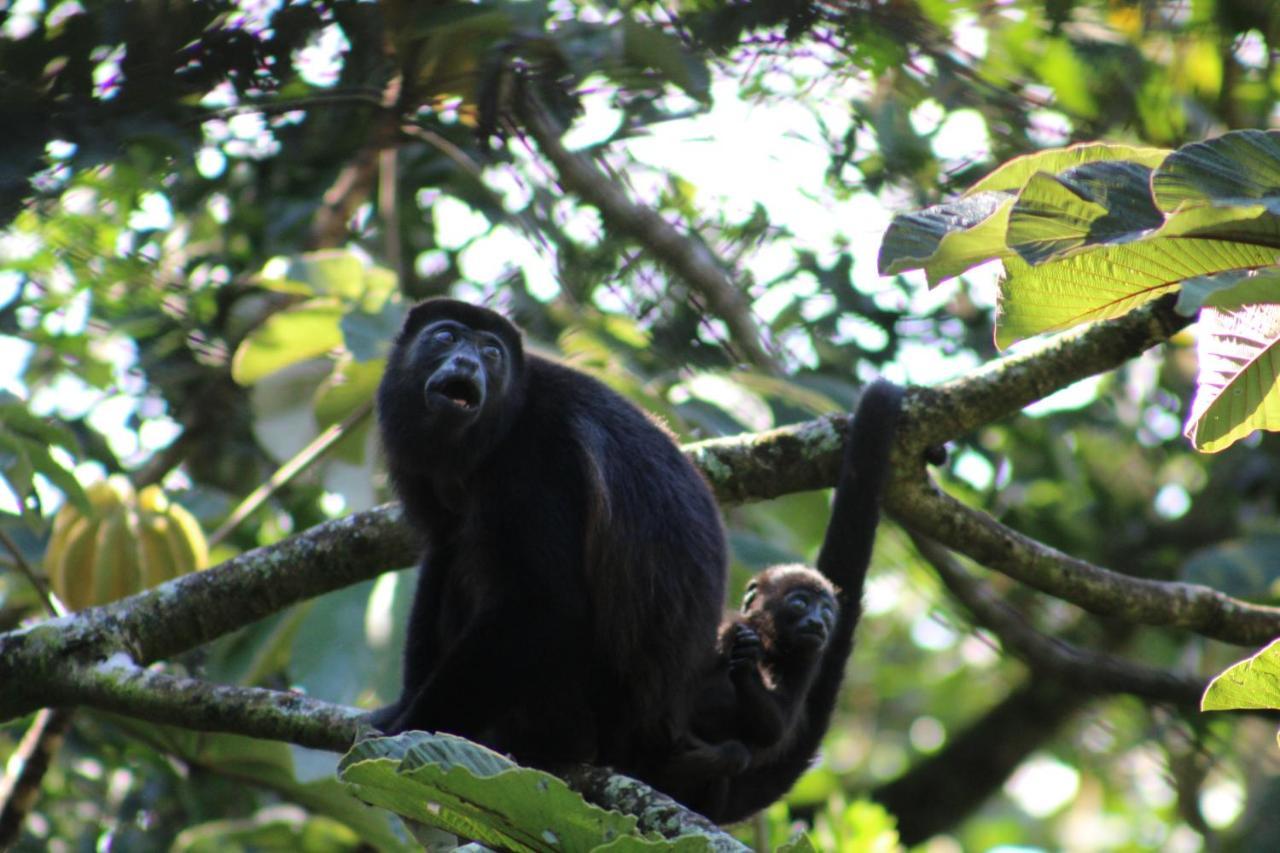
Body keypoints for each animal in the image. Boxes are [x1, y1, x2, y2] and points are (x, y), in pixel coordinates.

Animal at [373, 300, 732, 768]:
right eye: (446, 337)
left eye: (492, 353)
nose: (468, 362)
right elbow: (443, 550)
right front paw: (400, 708)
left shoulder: (537, 458)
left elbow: (542, 602)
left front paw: (415, 727)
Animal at [660, 379, 901, 819]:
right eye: (800, 603)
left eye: (828, 612)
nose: (819, 622)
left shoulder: (809, 660)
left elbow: (775, 727)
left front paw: (746, 664)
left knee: (736, 754)